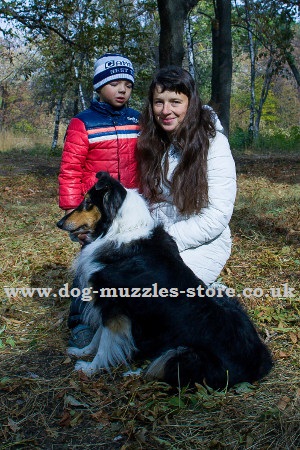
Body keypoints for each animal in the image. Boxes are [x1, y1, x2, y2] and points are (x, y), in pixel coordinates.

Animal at [57, 172, 274, 390]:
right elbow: (97, 336)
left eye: (87, 202)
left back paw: (133, 373)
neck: (118, 231)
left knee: (161, 374)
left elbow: (104, 343)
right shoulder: (107, 306)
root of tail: (260, 361)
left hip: (183, 356)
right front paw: (83, 351)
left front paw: (90, 368)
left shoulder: (114, 308)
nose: (59, 224)